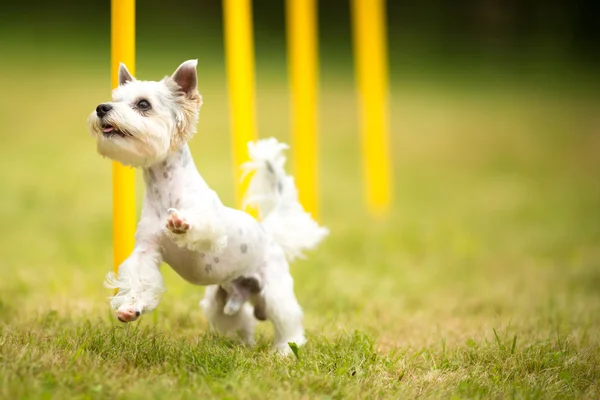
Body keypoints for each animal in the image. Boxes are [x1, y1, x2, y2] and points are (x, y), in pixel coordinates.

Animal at [88, 59, 328, 354]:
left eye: (143, 104)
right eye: (115, 99)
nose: (102, 108)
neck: (165, 190)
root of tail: (269, 233)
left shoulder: (211, 228)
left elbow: (199, 224)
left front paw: (180, 224)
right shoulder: (146, 250)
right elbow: (138, 280)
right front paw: (129, 308)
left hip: (274, 292)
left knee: (288, 322)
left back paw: (284, 350)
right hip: (221, 302)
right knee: (242, 321)